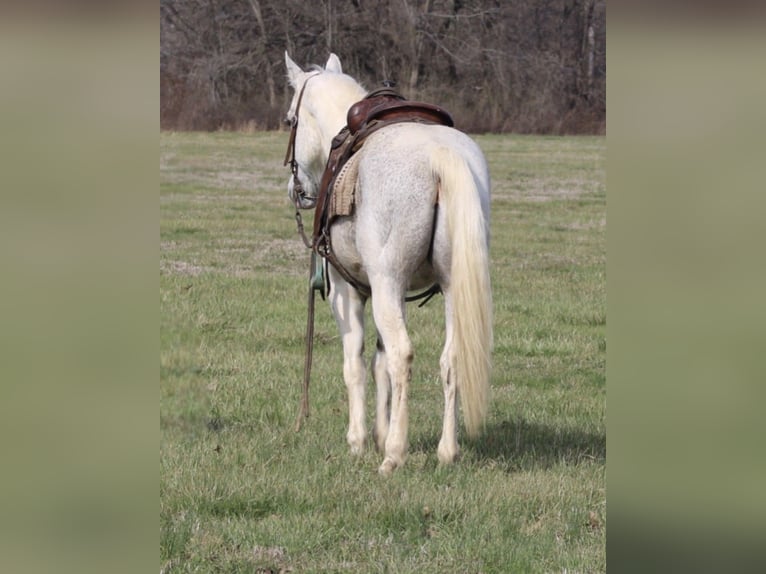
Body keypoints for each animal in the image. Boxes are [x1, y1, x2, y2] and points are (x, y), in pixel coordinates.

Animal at [284, 52, 492, 475]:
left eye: (289, 120)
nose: (296, 192)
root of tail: (438, 157)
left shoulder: (348, 292)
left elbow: (357, 364)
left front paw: (361, 442)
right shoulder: (386, 294)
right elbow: (379, 365)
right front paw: (380, 433)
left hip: (387, 283)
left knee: (401, 355)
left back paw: (394, 455)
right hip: (450, 287)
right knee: (450, 359)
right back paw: (446, 451)